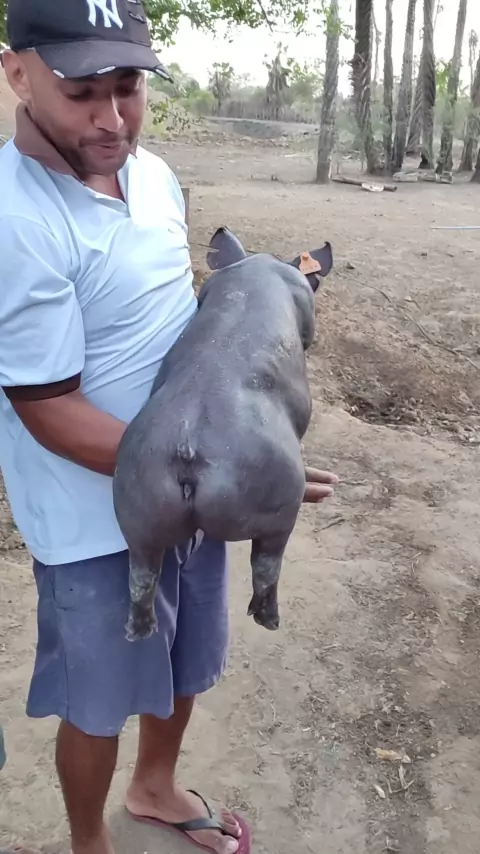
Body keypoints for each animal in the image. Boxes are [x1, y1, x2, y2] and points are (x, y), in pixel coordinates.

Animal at [112, 227, 333, 642]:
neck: (260, 269)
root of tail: (189, 447)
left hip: (136, 500)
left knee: (142, 572)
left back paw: (139, 632)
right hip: (276, 499)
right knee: (266, 564)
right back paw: (268, 620)